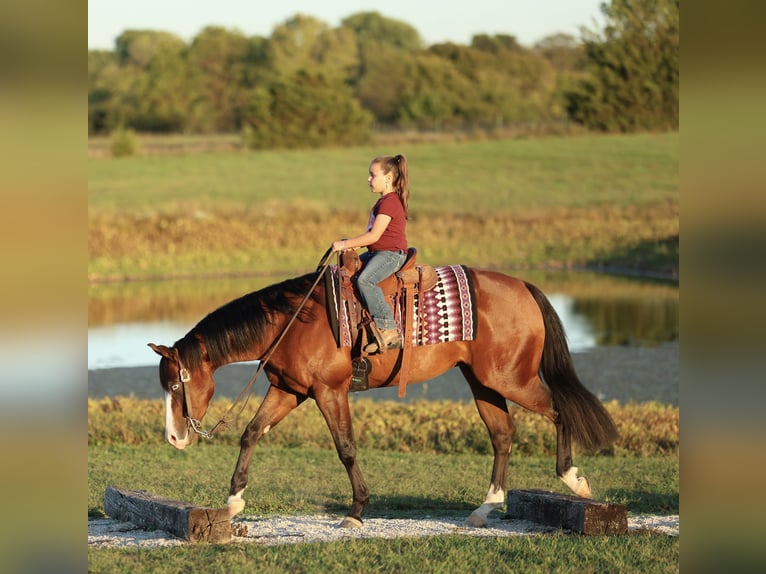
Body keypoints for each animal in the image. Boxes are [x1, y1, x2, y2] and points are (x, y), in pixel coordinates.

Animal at [148, 264, 618, 528]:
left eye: (174, 385)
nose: (173, 437)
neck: (293, 321)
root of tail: (522, 286)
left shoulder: (328, 392)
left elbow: (346, 448)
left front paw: (356, 511)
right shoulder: (289, 391)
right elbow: (251, 433)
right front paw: (232, 503)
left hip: (510, 379)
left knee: (559, 410)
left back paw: (574, 479)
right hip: (484, 382)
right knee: (502, 435)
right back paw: (485, 509)